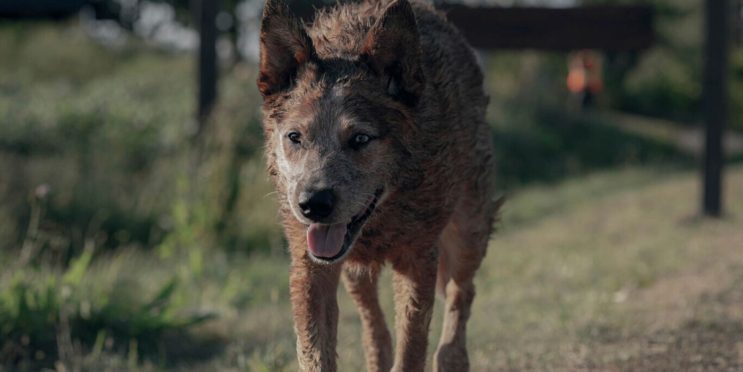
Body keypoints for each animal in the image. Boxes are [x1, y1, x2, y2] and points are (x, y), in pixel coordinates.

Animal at [258, 0, 500, 370]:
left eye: (360, 138)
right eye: (295, 137)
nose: (313, 204)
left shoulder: (418, 258)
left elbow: (412, 347)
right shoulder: (310, 266)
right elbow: (315, 351)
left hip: (469, 229)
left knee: (462, 291)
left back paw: (452, 357)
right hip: (355, 271)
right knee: (373, 325)